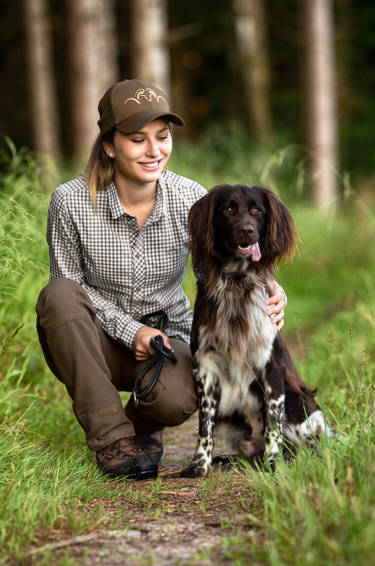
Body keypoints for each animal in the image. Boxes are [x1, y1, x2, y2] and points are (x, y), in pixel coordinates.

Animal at [181, 186, 332, 480]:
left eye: (257, 211)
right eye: (228, 209)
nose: (247, 231)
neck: (237, 282)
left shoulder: (269, 365)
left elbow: (273, 422)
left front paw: (273, 463)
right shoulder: (206, 367)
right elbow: (204, 426)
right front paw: (200, 464)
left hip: (298, 401)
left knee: (306, 444)